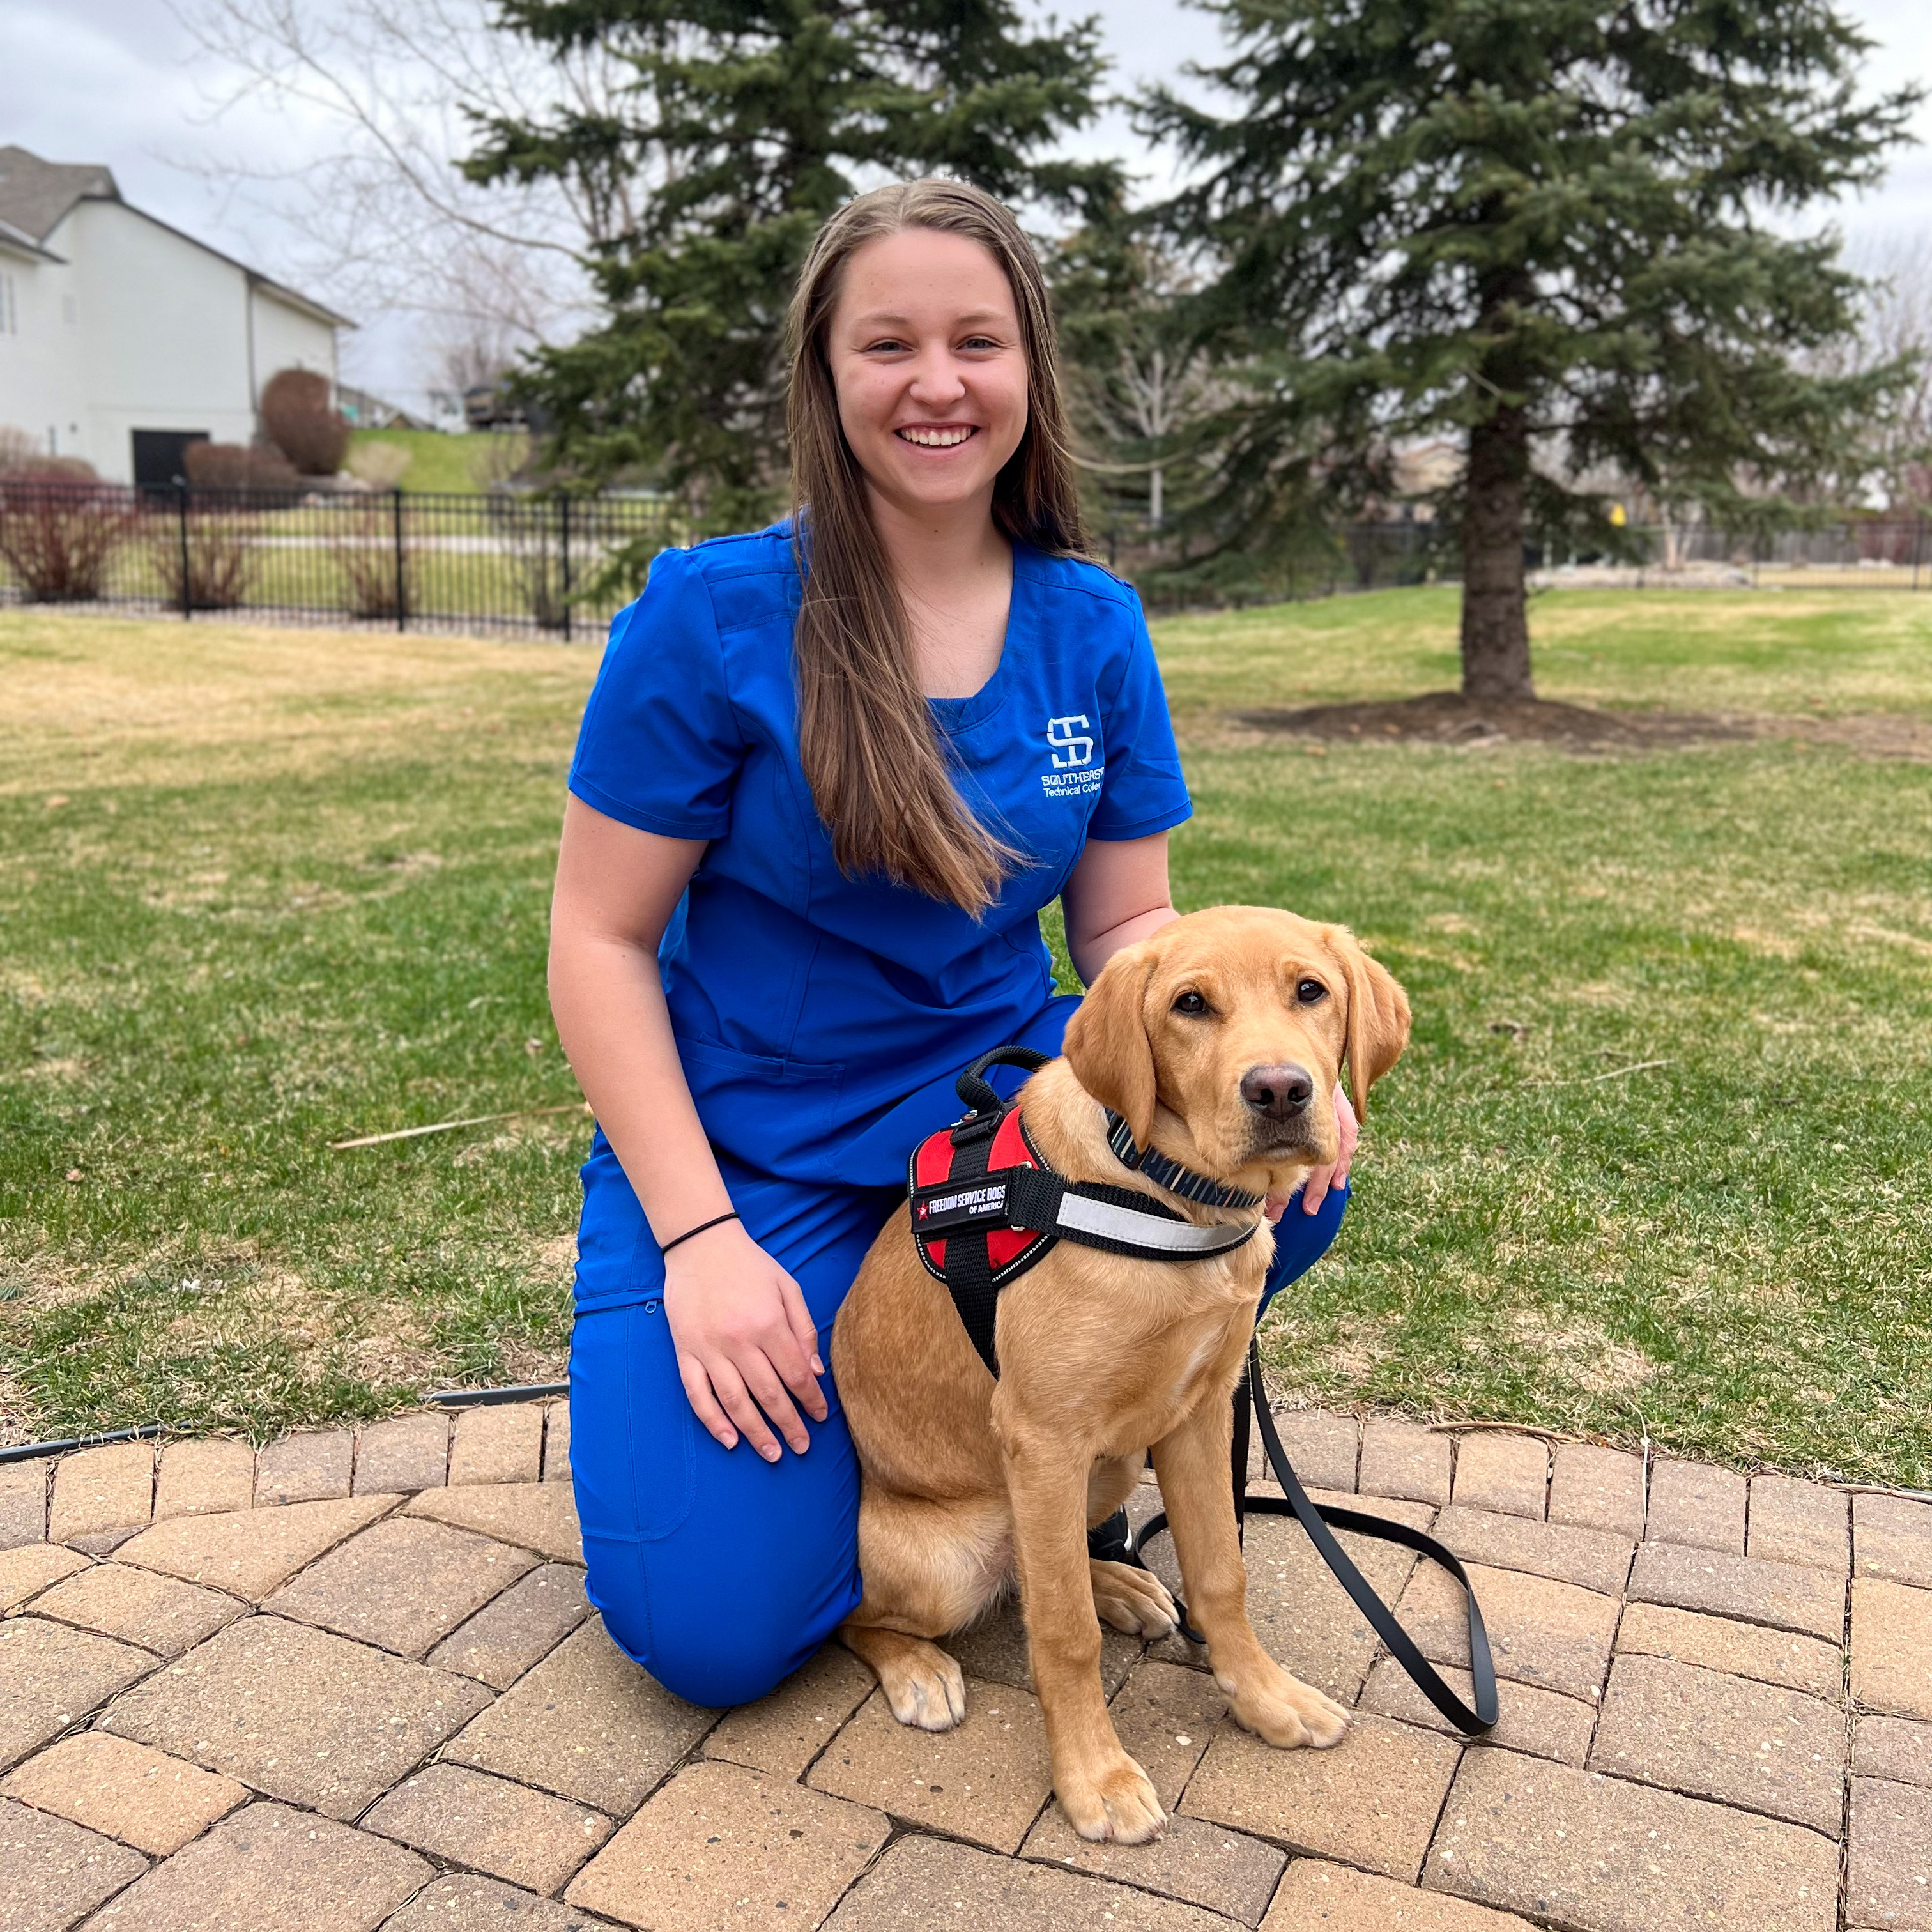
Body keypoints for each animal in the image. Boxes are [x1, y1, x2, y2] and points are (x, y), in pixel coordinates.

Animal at [838, 904, 1414, 1839]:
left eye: (1311, 991)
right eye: (1191, 1005)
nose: (1281, 1091)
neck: (1167, 1192)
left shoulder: (1200, 1410)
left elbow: (1220, 1573)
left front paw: (1265, 1697)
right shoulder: (1042, 1438)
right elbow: (1063, 1632)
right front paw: (1094, 1777)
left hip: (1110, 1466)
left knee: (1041, 1568)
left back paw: (1122, 1584)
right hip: (949, 1556)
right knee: (871, 1614)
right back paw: (918, 1668)